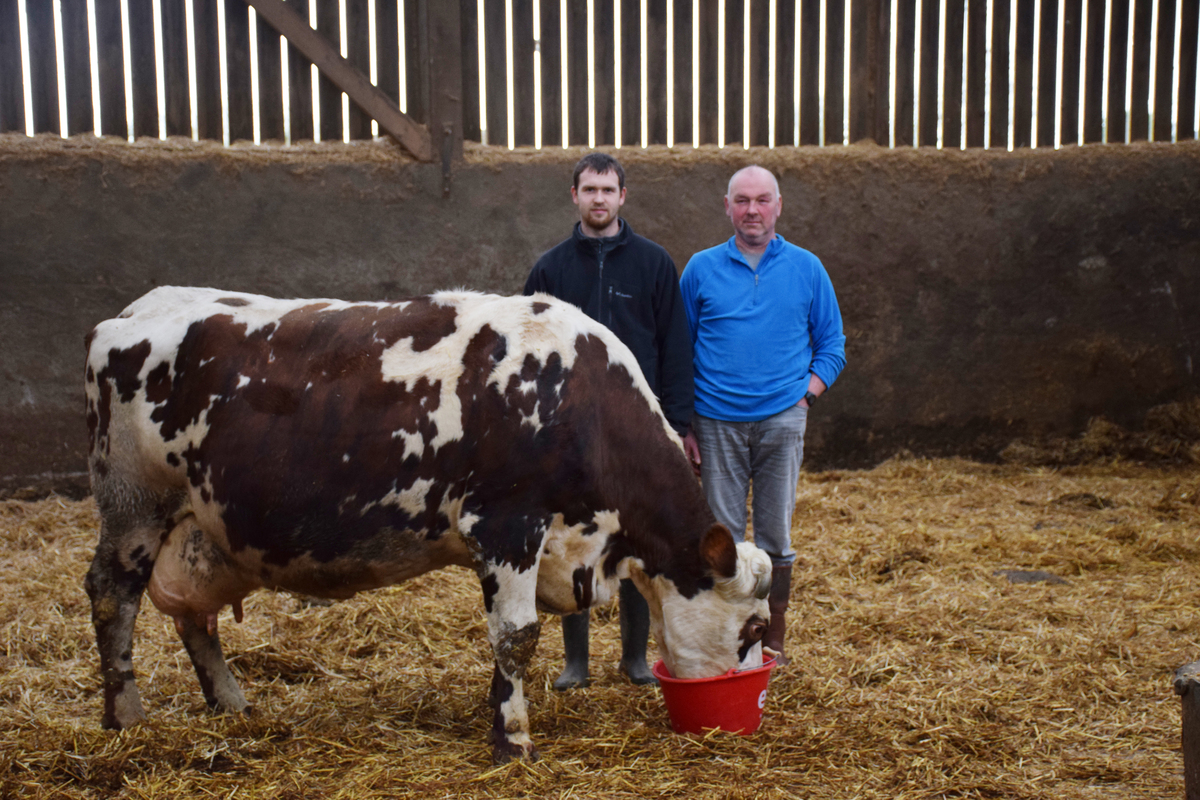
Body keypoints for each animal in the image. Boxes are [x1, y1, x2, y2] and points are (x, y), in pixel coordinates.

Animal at [87, 284, 777, 762]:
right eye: (753, 628)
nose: (744, 704)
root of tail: (133, 310)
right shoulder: (506, 524)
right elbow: (517, 636)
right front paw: (514, 740)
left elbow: (508, 642)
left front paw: (499, 713)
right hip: (133, 508)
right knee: (112, 599)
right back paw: (125, 717)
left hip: (197, 530)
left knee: (193, 616)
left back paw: (233, 705)